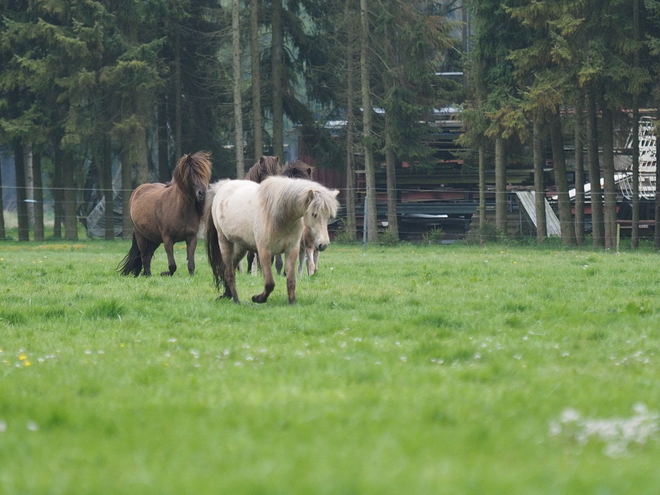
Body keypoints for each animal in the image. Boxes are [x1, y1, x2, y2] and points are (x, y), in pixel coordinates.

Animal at [205, 176, 340, 304]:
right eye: (314, 214)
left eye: (328, 216)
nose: (323, 244)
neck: (280, 216)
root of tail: (223, 186)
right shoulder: (264, 251)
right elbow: (270, 283)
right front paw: (258, 298)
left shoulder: (292, 250)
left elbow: (291, 280)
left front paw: (293, 302)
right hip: (225, 242)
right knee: (229, 272)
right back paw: (236, 300)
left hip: (241, 246)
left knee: (231, 268)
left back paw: (227, 295)